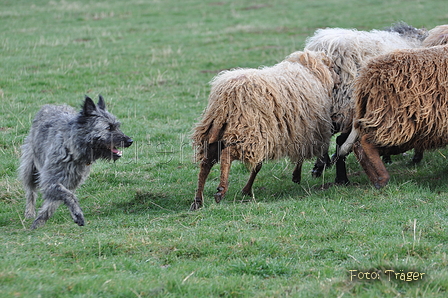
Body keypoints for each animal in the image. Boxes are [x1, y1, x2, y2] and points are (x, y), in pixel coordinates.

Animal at [19, 95, 131, 228]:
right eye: (108, 128)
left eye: (117, 126)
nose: (130, 141)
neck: (71, 148)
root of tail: (50, 106)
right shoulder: (50, 181)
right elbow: (69, 196)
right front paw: (77, 214)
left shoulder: (68, 183)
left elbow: (54, 202)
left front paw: (41, 219)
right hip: (30, 168)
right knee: (30, 191)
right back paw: (29, 212)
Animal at [190, 50, 340, 210]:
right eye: (333, 67)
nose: (338, 82)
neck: (311, 70)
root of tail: (228, 97)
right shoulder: (305, 131)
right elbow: (296, 156)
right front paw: (296, 175)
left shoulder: (274, 136)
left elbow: (258, 165)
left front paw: (247, 189)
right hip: (246, 132)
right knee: (227, 154)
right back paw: (221, 190)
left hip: (216, 131)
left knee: (206, 163)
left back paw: (198, 200)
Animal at [348, 44, 448, 189]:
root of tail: (367, 77)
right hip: (394, 119)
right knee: (366, 142)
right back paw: (382, 179)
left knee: (358, 146)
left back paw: (375, 180)